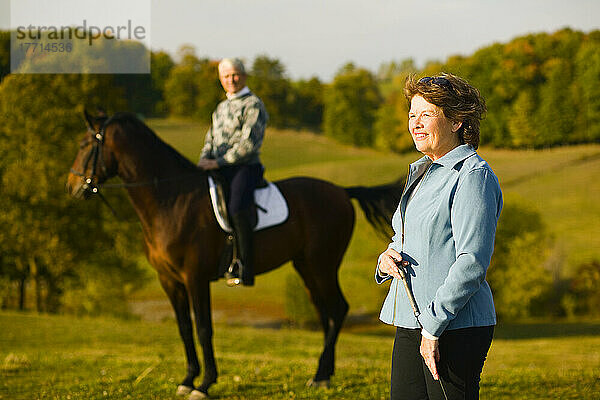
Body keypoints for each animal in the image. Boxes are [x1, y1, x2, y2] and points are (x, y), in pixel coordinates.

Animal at [67, 111, 404, 398]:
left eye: (85, 145)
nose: (72, 187)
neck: (172, 201)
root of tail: (342, 192)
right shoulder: (169, 280)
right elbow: (184, 329)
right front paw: (187, 380)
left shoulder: (195, 278)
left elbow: (204, 328)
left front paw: (204, 384)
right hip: (306, 268)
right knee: (327, 313)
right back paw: (323, 375)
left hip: (322, 265)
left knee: (338, 309)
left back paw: (321, 375)